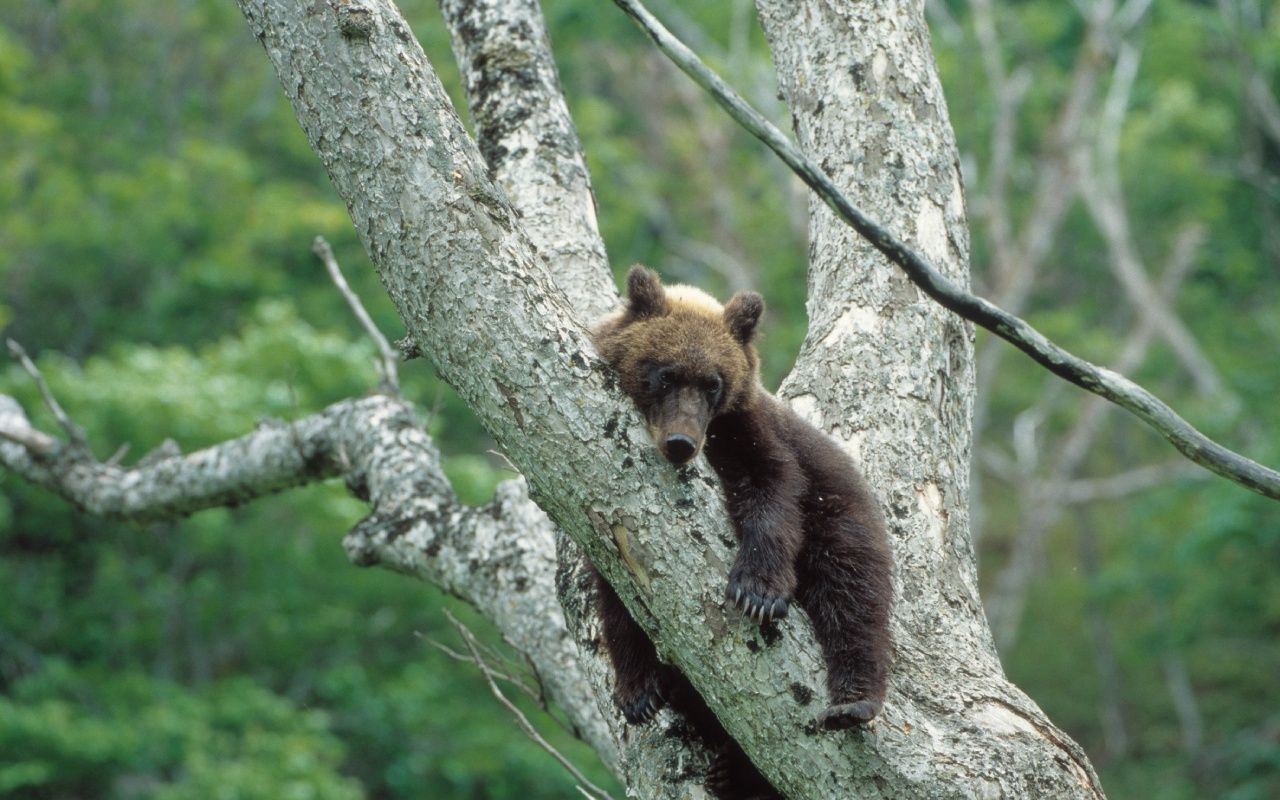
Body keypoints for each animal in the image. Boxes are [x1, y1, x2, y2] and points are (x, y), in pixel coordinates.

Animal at [589, 266, 893, 799]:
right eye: (663, 374)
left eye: (713, 382)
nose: (681, 443)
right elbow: (616, 596)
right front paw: (638, 690)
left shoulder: (750, 436)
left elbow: (772, 494)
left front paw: (758, 592)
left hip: (844, 520)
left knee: (853, 599)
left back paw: (850, 701)